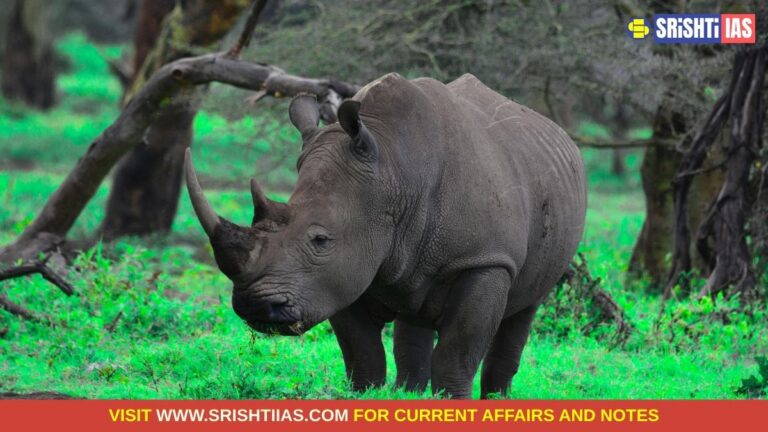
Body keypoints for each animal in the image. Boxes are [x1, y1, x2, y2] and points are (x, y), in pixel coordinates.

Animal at [184, 73, 586, 399]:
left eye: (320, 240)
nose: (255, 306)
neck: (394, 170)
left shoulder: (485, 260)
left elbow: (456, 356)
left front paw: (453, 402)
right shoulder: (342, 272)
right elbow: (363, 358)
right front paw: (368, 397)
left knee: (524, 309)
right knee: (414, 310)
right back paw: (408, 394)